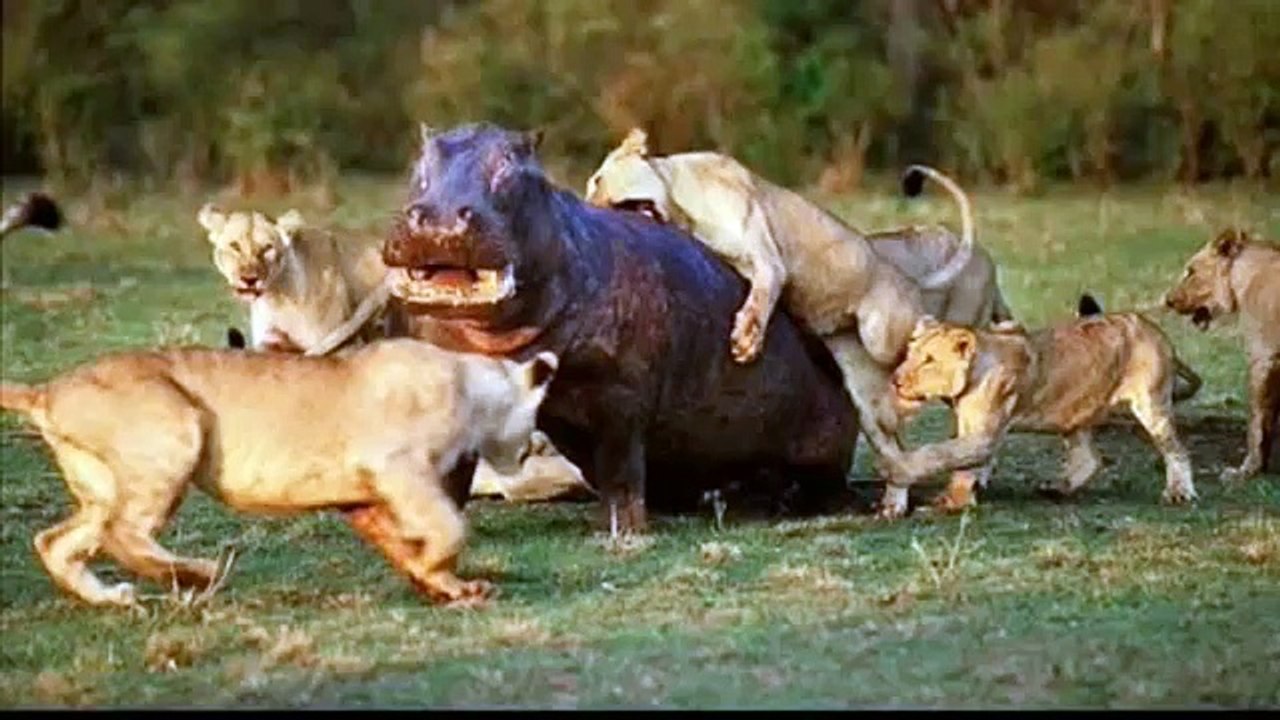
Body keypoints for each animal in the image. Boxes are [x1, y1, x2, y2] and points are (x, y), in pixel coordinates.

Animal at [0, 339, 558, 608]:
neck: (471, 381)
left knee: (56, 541)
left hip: (102, 486)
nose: (525, 454)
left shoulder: (363, 498)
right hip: (174, 434)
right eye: (534, 429)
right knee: (123, 532)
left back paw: (113, 599)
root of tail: (48, 389)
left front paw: (449, 587)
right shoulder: (397, 465)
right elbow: (449, 526)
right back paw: (200, 574)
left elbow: (402, 541)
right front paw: (440, 568)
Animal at [198, 203, 399, 354]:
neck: (275, 299)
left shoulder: (342, 347)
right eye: (235, 246)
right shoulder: (266, 343)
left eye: (267, 248)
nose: (249, 279)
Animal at [581, 127, 1008, 506]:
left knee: (926, 342)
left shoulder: (768, 259)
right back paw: (894, 499)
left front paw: (746, 341)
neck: (680, 202)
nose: (588, 211)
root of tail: (904, 278)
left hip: (881, 334)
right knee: (893, 437)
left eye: (599, 180)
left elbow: (763, 294)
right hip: (864, 388)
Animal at [886, 306, 1199, 514]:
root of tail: (1155, 330)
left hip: (1152, 404)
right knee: (1089, 459)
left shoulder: (984, 435)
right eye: (910, 353)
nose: (896, 379)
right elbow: (964, 463)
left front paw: (946, 500)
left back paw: (1179, 492)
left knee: (1177, 450)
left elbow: (943, 455)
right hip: (1077, 412)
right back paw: (1057, 489)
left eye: (929, 360)